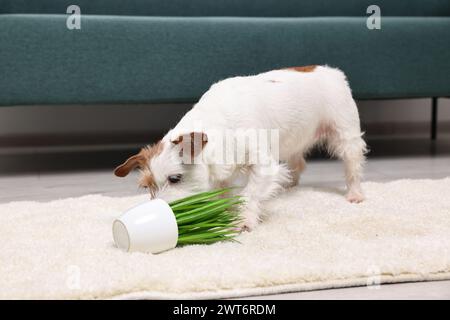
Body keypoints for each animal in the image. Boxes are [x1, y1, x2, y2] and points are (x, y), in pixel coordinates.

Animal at [114, 65, 368, 230]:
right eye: (147, 186)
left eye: (175, 178)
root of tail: (331, 71)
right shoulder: (220, 174)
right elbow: (223, 192)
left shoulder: (263, 165)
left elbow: (248, 194)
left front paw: (244, 220)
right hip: (292, 140)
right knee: (298, 162)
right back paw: (288, 185)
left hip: (345, 134)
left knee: (352, 164)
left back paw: (355, 194)